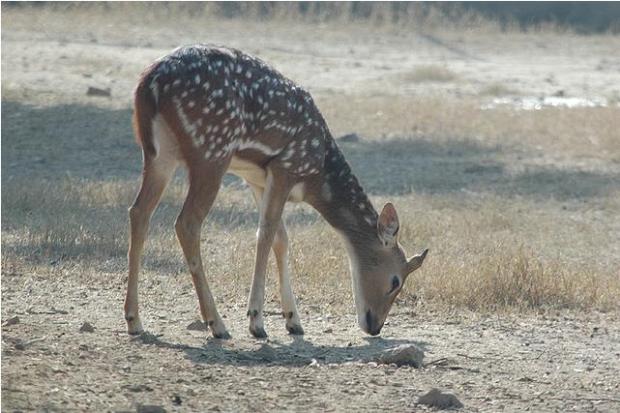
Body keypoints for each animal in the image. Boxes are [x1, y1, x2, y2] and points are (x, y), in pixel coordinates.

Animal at [126, 45, 426, 338]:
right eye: (395, 281)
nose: (375, 326)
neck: (317, 173)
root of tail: (150, 83)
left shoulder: (257, 179)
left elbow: (282, 238)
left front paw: (293, 320)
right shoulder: (286, 167)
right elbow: (266, 234)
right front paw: (256, 322)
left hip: (159, 151)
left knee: (138, 211)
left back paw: (134, 319)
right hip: (211, 150)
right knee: (186, 223)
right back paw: (217, 324)